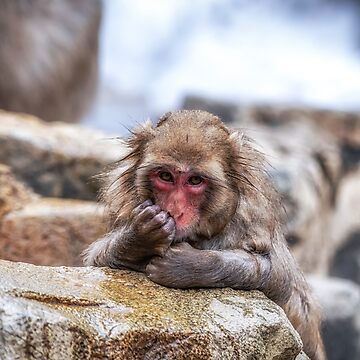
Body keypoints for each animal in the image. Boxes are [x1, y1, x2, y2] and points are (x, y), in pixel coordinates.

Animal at [84, 109, 326, 360]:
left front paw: (188, 265)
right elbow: (96, 259)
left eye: (195, 180)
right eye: (165, 176)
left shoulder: (252, 217)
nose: (175, 209)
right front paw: (139, 239)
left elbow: (280, 278)